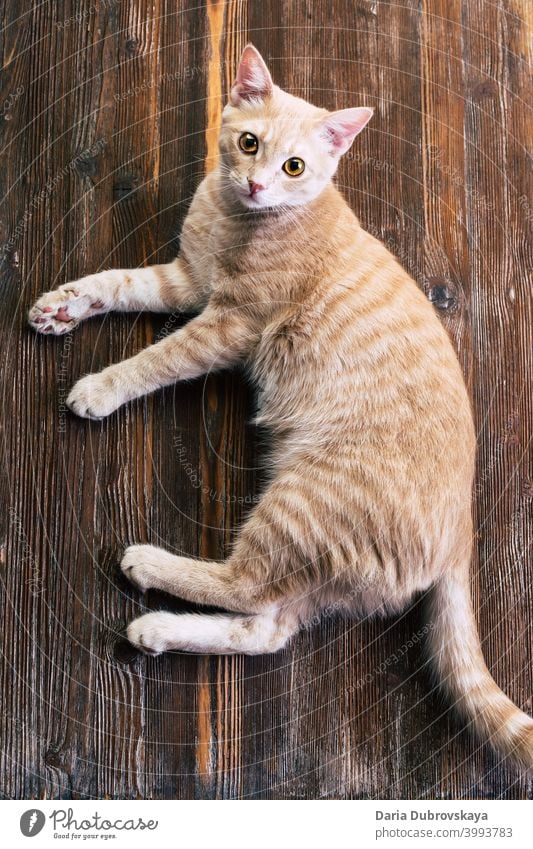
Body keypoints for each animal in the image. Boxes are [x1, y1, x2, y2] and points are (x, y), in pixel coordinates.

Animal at [29, 43, 532, 764]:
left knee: (243, 584)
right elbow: (116, 282)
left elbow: (155, 360)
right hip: (315, 566)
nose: (260, 185)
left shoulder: (225, 324)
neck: (233, 220)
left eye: (295, 167)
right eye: (249, 143)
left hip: (301, 503)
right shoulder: (186, 282)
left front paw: (101, 386)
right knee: (264, 628)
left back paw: (150, 564)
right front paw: (63, 306)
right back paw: (159, 628)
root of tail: (462, 531)